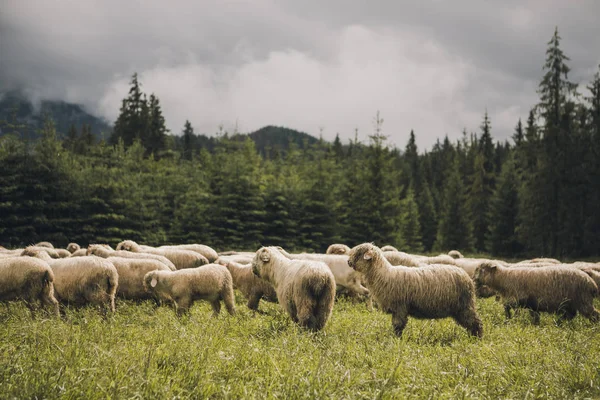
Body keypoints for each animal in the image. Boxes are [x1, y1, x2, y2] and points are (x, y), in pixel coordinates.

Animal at [346, 244, 482, 338]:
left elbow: (398, 326)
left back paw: (476, 339)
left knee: (476, 322)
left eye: (359, 254)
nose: (348, 262)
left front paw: (397, 340)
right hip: (459, 309)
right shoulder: (397, 309)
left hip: (465, 306)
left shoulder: (400, 307)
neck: (384, 275)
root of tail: (466, 276)